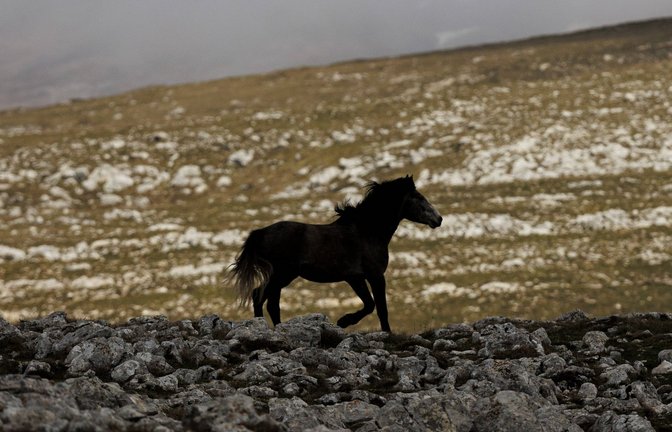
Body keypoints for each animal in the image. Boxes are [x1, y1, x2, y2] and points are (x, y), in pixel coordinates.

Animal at [229, 175, 442, 332]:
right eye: (419, 197)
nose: (438, 219)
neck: (367, 231)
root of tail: (260, 233)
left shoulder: (355, 278)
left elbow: (370, 304)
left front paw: (344, 321)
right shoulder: (373, 276)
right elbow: (378, 307)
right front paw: (348, 323)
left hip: (282, 276)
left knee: (266, 300)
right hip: (282, 274)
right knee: (261, 297)